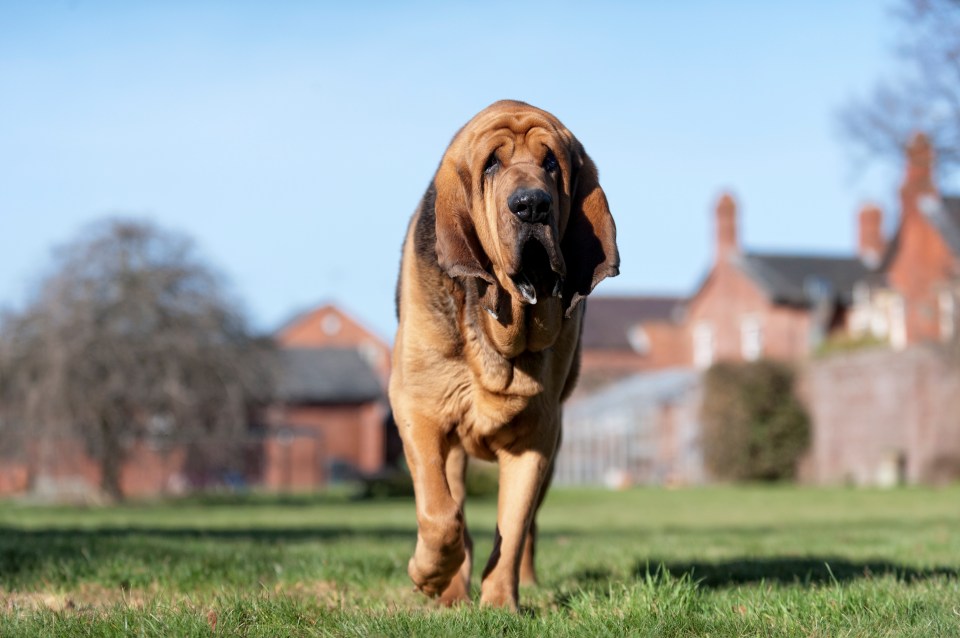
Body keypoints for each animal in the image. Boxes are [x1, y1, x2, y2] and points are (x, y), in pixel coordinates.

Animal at [392, 100, 624, 608]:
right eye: (492, 164)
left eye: (551, 163)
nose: (531, 204)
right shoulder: (419, 410)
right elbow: (441, 515)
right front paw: (428, 575)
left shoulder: (536, 437)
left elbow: (513, 527)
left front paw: (501, 604)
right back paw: (449, 589)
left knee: (529, 525)